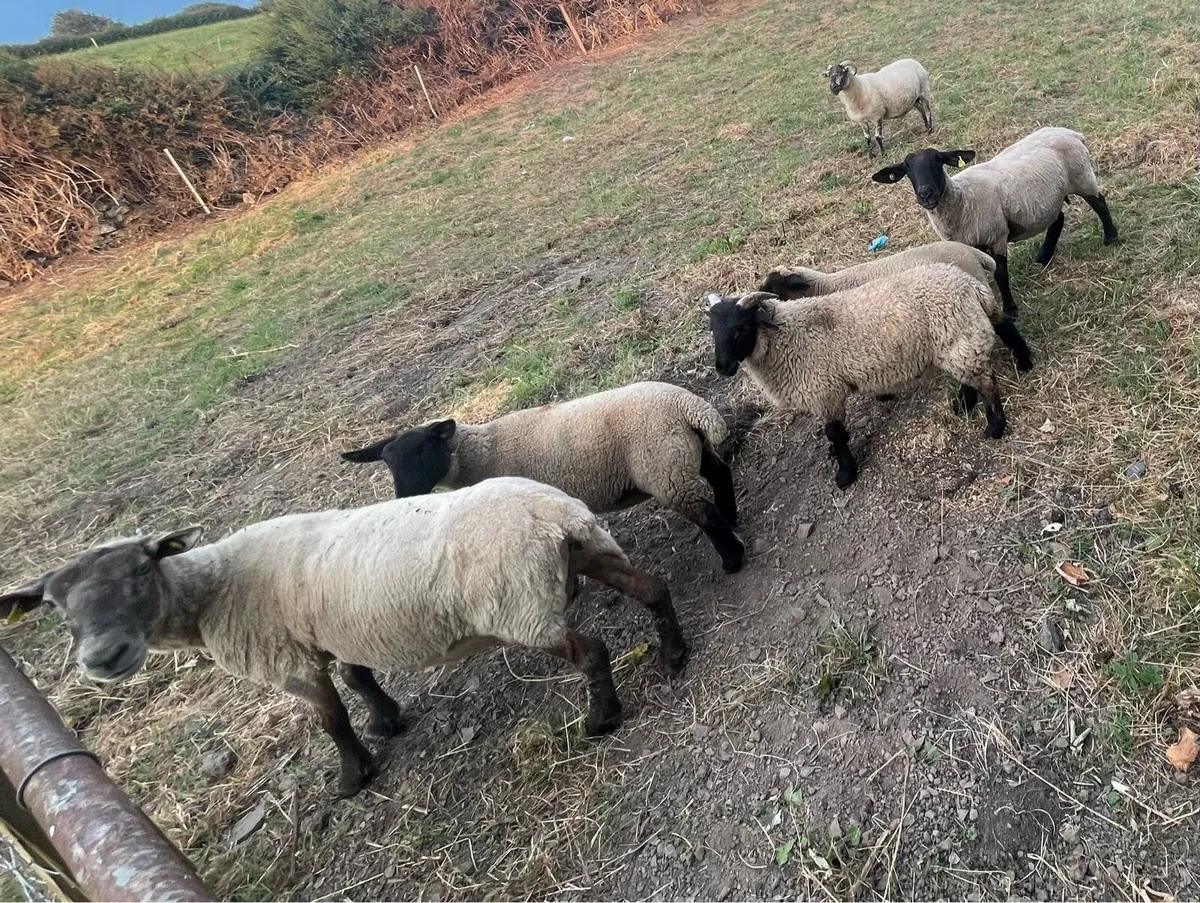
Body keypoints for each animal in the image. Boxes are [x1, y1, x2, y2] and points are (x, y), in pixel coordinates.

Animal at [0, 478, 688, 799]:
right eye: (57, 607)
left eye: (140, 571)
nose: (102, 658)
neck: (215, 588)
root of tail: (556, 513)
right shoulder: (333, 633)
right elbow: (359, 678)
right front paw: (388, 721)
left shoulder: (291, 661)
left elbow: (331, 721)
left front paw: (354, 777)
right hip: (588, 554)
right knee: (653, 588)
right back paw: (674, 655)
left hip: (521, 607)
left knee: (592, 651)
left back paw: (602, 717)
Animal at [341, 381, 745, 574]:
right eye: (387, 462)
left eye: (423, 449)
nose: (403, 498)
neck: (481, 454)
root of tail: (687, 405)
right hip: (686, 454)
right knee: (720, 474)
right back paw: (733, 518)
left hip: (666, 471)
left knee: (706, 515)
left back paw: (733, 560)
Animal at [703, 263, 1030, 489]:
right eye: (713, 329)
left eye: (741, 327)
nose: (722, 367)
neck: (790, 336)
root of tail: (968, 284)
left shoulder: (825, 392)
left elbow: (835, 434)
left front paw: (846, 474)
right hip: (956, 339)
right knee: (999, 332)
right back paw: (980, 392)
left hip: (958, 336)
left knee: (987, 379)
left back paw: (995, 425)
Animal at [871, 127, 1119, 316]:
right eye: (906, 169)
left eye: (938, 162)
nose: (926, 194)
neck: (962, 199)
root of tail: (1071, 133)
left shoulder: (997, 235)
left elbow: (1000, 274)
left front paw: (1010, 309)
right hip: (1048, 199)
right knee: (1058, 219)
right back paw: (1043, 257)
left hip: (1082, 177)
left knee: (1100, 203)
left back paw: (1111, 237)